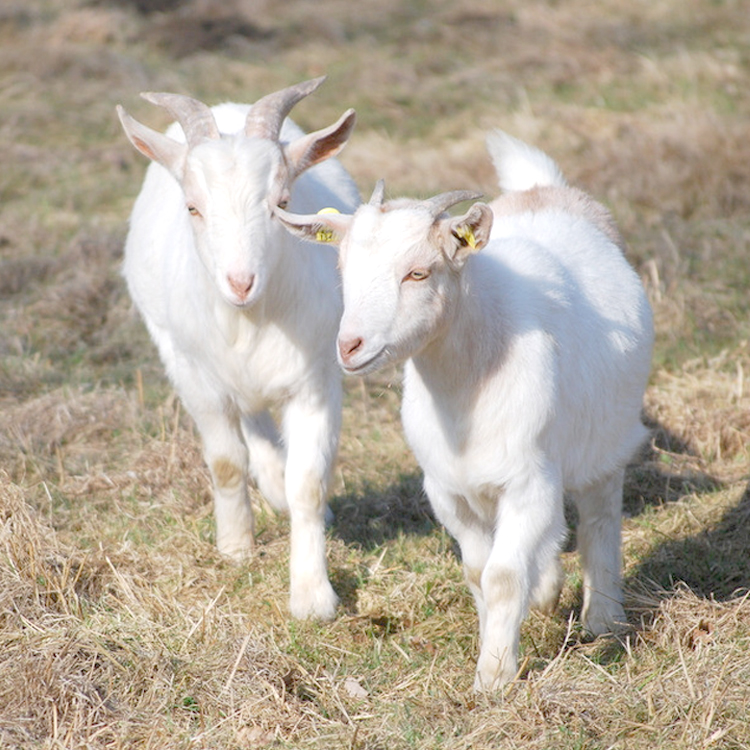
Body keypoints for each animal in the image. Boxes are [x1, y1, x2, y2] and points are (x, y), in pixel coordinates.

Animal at [118, 78, 362, 624]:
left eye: (282, 201)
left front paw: (312, 596)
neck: (249, 320)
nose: (240, 282)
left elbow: (308, 482)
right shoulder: (195, 375)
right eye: (192, 207)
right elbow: (226, 462)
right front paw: (236, 548)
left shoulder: (315, 380)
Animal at [280, 129, 656, 688]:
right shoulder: (449, 490)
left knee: (599, 516)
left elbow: (502, 575)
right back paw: (549, 591)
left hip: (606, 438)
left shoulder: (528, 482)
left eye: (418, 272)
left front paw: (494, 676)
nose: (349, 346)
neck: (464, 389)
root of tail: (544, 190)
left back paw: (604, 620)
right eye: (343, 268)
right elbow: (478, 571)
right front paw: (496, 644)